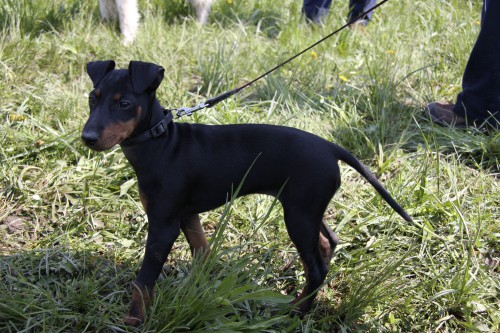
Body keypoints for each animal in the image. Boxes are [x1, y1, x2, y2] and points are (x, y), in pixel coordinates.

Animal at [81, 59, 410, 324]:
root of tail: (331, 147)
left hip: (299, 215)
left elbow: (143, 281)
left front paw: (134, 320)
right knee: (328, 243)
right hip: (306, 208)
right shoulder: (187, 216)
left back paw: (297, 311)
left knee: (316, 269)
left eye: (124, 104)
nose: (87, 138)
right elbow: (202, 252)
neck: (160, 142)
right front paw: (198, 291)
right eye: (92, 99)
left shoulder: (164, 225)